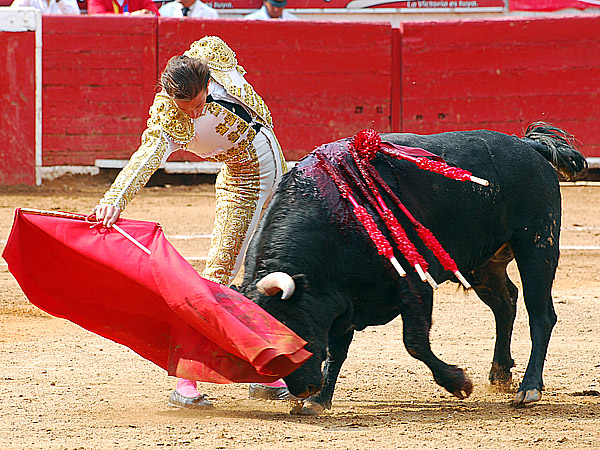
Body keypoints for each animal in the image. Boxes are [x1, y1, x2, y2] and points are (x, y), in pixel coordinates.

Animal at [238, 122, 584, 414]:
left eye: (290, 331)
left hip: (538, 244)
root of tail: (528, 146)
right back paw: (500, 373)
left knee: (540, 315)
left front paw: (458, 383)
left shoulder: (415, 282)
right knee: (505, 303)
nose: (303, 388)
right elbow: (338, 349)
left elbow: (414, 342)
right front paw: (318, 400)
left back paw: (529, 388)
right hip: (483, 264)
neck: (335, 214)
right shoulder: (345, 296)